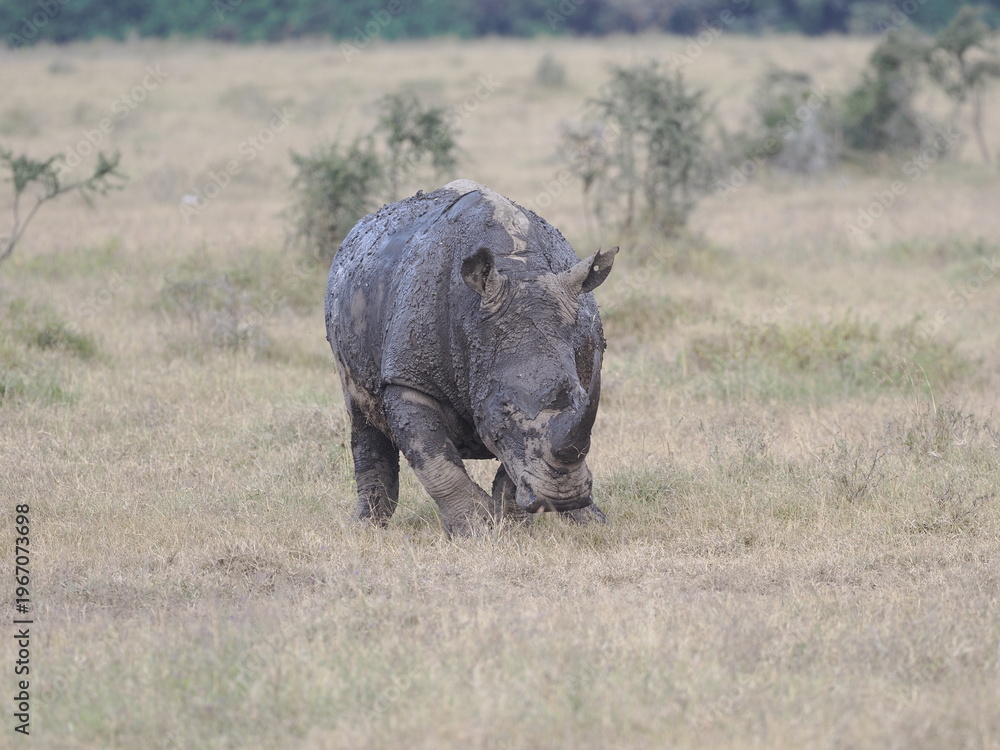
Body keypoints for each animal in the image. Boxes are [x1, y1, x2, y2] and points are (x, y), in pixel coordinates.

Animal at [325, 179, 617, 535]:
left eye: (578, 396)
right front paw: (476, 529)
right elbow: (435, 461)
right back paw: (364, 528)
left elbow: (514, 463)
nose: (563, 497)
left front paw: (511, 523)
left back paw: (592, 523)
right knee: (360, 413)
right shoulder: (409, 379)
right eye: (503, 409)